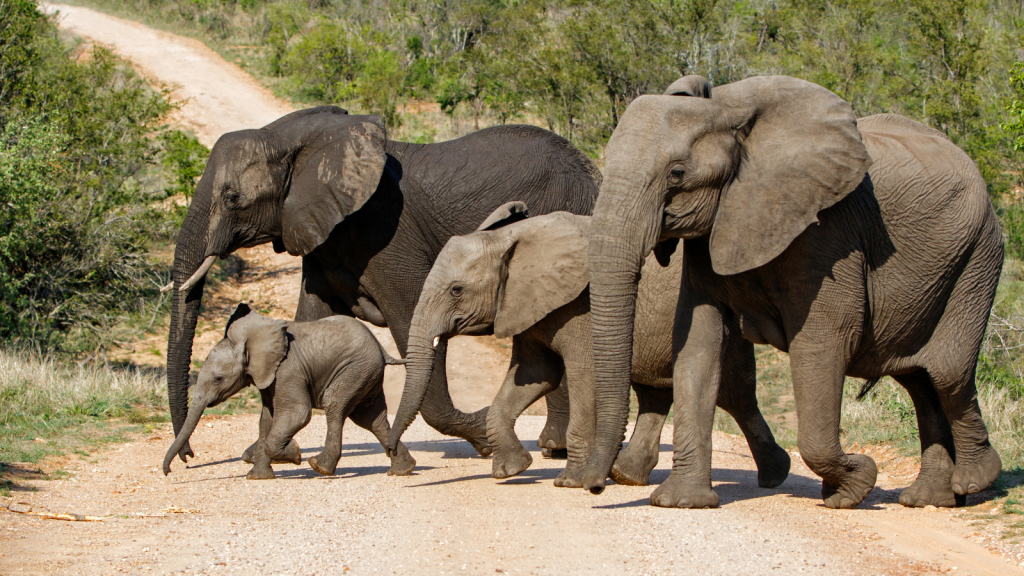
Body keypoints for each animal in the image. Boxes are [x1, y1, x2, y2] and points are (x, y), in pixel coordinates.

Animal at [163, 303, 411, 477]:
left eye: (218, 378)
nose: (169, 470)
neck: (251, 341)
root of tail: (381, 348)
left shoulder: (288, 370)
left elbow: (297, 413)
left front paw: (295, 454)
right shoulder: (267, 376)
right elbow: (266, 419)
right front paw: (257, 477)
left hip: (355, 369)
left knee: (336, 406)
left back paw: (319, 467)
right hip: (365, 374)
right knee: (370, 418)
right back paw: (403, 470)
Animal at [385, 203, 790, 485]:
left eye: (457, 290)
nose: (393, 459)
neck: (512, 237)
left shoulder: (581, 307)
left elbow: (582, 375)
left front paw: (570, 482)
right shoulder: (527, 306)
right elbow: (534, 375)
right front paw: (510, 471)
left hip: (725, 320)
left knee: (735, 395)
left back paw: (775, 476)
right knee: (655, 392)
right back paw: (625, 476)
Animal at [581, 75, 1003, 506]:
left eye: (677, 173)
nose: (594, 487)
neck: (729, 110)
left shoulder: (828, 232)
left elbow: (823, 340)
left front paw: (854, 486)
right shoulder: (712, 232)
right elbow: (697, 339)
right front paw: (682, 502)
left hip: (977, 256)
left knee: (947, 371)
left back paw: (974, 480)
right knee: (919, 379)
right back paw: (929, 498)